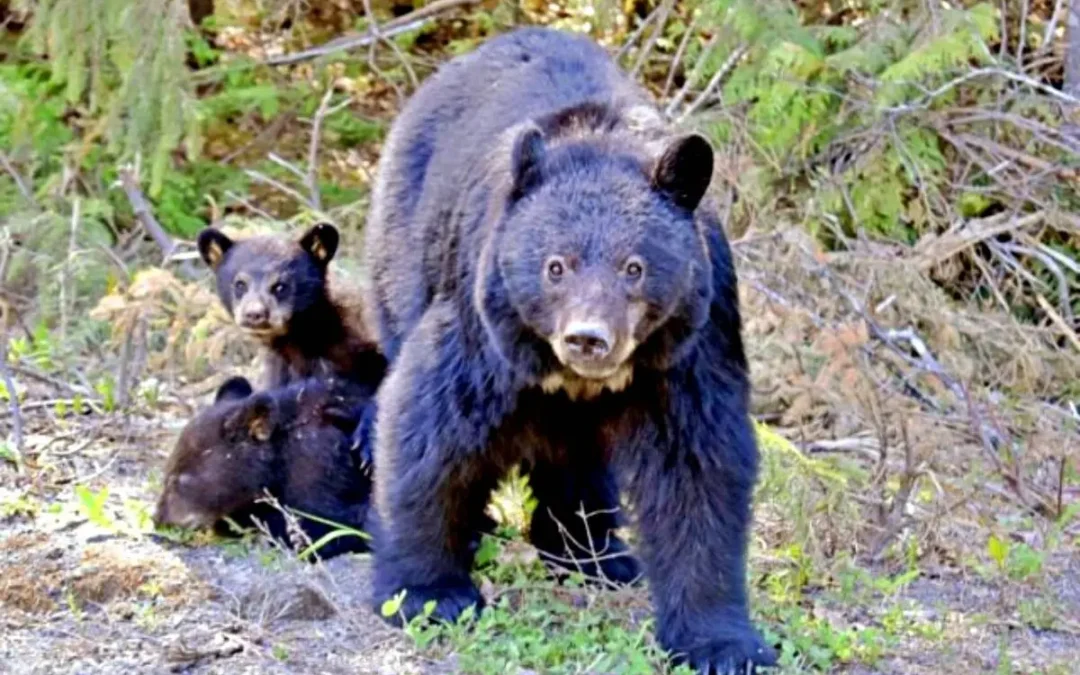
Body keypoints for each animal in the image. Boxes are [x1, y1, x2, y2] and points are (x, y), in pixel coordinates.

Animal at [361, 27, 776, 674]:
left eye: (635, 267)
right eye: (556, 266)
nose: (588, 337)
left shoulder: (693, 336)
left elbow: (698, 463)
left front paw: (721, 642)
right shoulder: (485, 324)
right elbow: (430, 431)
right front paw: (430, 593)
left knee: (579, 459)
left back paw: (595, 553)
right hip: (402, 252)